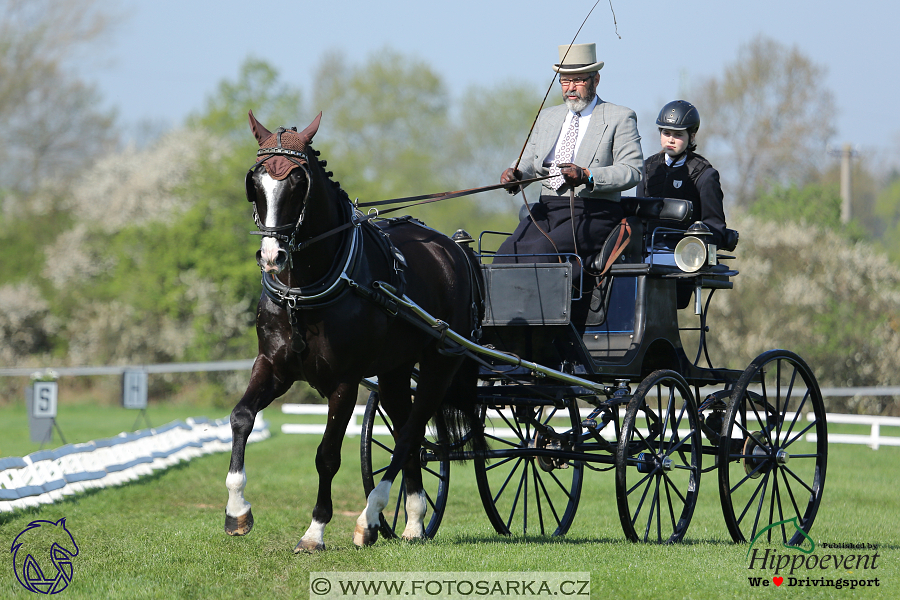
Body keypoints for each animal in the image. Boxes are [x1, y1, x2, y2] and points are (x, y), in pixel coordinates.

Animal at [224, 110, 482, 552]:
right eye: (255, 183)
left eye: (298, 183)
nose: (272, 256)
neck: (303, 292)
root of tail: (453, 249)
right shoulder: (273, 365)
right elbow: (241, 417)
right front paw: (237, 510)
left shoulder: (344, 382)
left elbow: (327, 455)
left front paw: (315, 531)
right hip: (395, 372)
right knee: (408, 434)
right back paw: (414, 520)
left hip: (438, 365)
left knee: (409, 433)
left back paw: (369, 516)